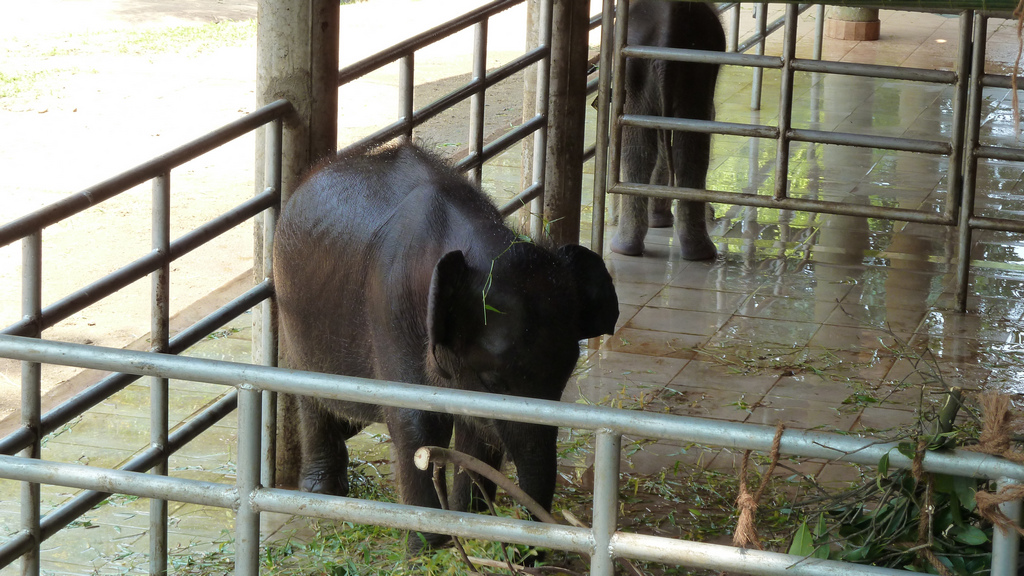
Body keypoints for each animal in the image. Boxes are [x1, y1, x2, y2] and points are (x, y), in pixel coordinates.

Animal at [273, 140, 619, 550]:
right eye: (492, 381)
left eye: (565, 375)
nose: (527, 552)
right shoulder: (391, 306)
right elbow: (418, 421)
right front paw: (425, 550)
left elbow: (479, 432)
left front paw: (467, 526)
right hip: (292, 309)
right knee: (310, 394)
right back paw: (323, 492)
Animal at [609, 0, 725, 260]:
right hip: (688, 69)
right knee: (689, 148)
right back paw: (699, 253)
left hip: (641, 69)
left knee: (641, 148)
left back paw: (624, 249)